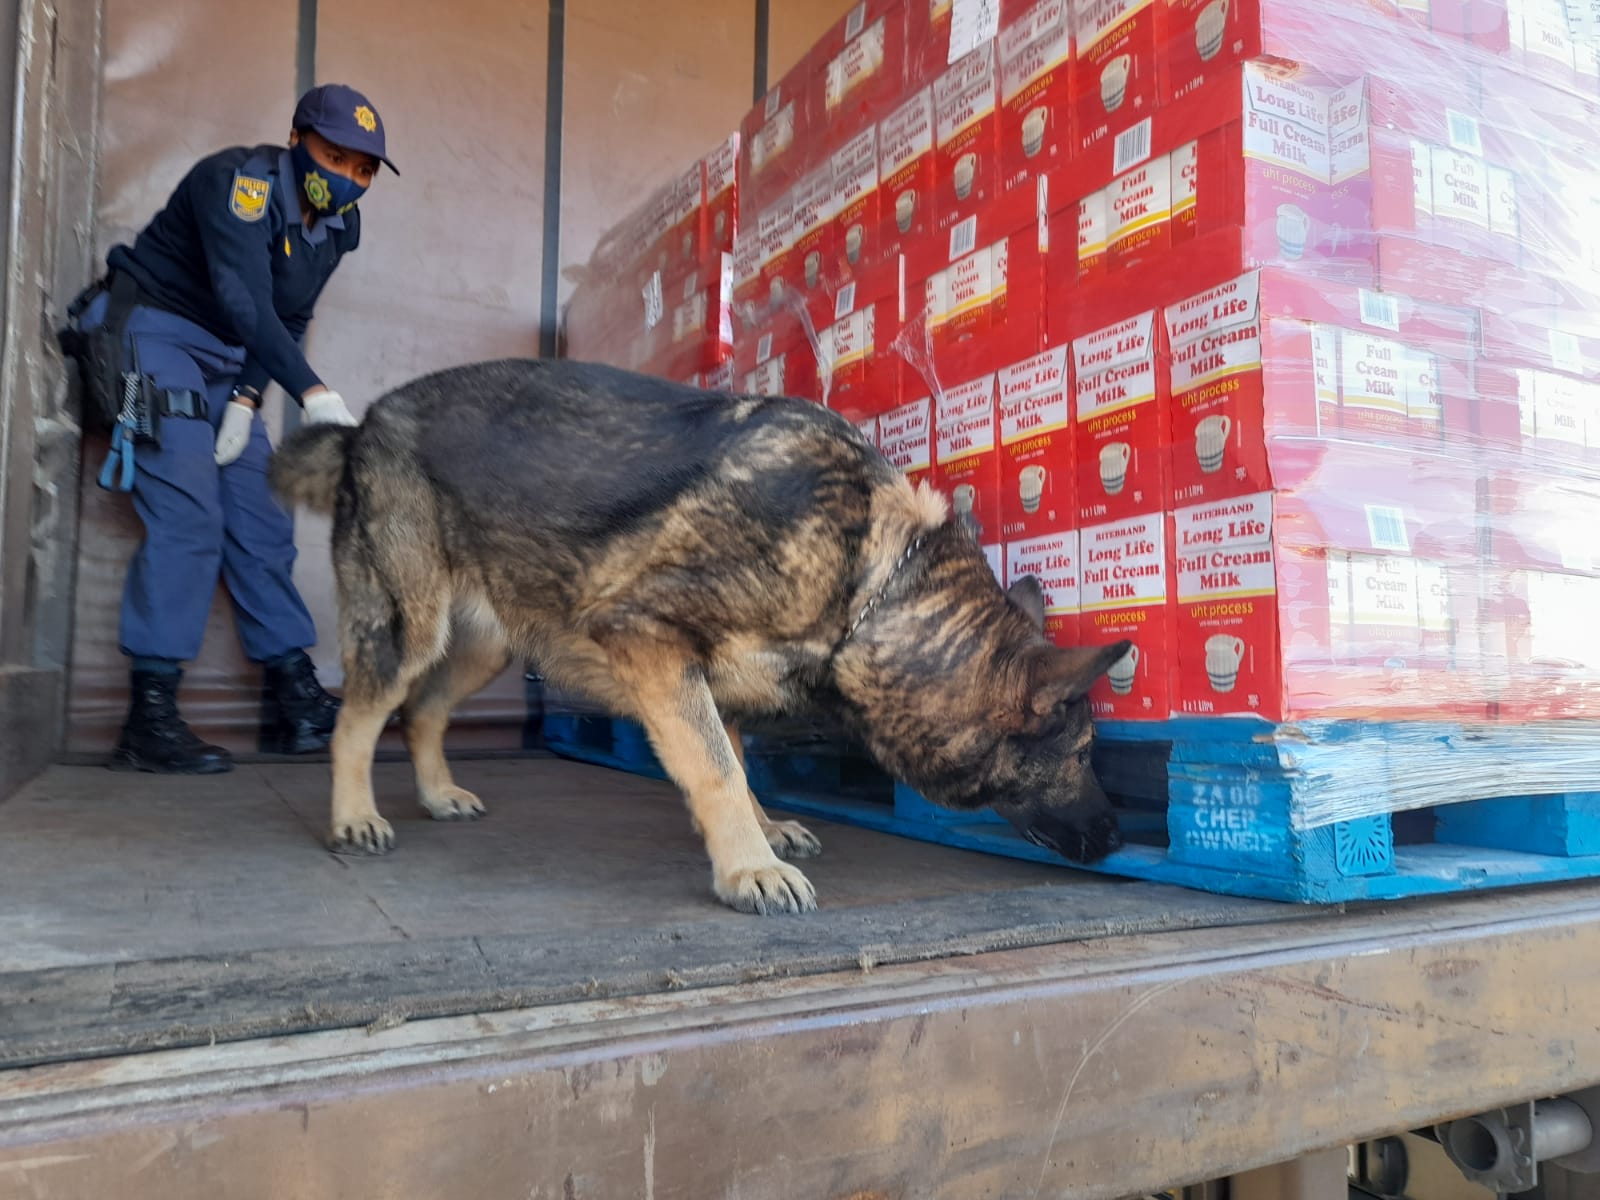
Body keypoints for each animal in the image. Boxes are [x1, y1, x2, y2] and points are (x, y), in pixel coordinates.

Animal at [272, 361, 1126, 915]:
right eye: (1082, 754)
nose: (1121, 838)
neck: (874, 579)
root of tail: (362, 425)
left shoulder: (714, 681)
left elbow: (739, 765)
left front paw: (764, 832)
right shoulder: (650, 641)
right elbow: (716, 767)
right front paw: (749, 865)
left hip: (486, 642)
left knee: (422, 712)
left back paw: (437, 792)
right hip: (409, 626)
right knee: (359, 718)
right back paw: (353, 815)